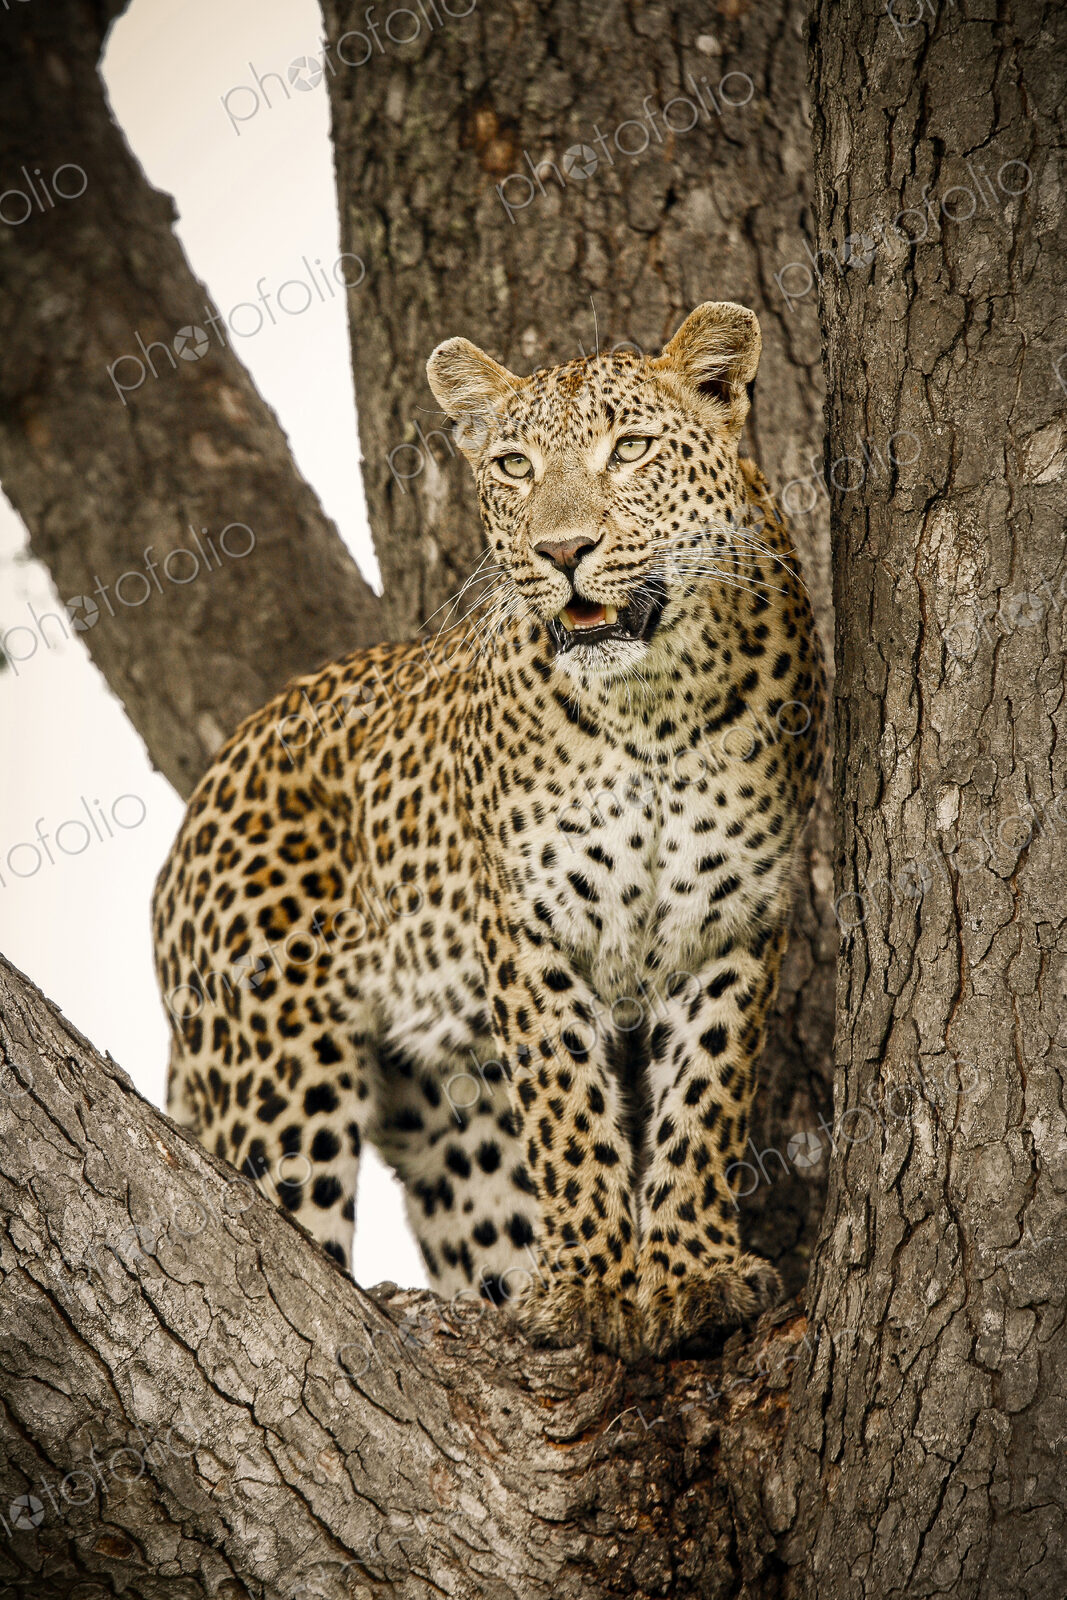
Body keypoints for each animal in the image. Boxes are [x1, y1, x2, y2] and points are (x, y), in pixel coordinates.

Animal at [152, 301, 826, 1361]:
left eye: (630, 450)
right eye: (513, 465)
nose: (563, 551)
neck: (653, 705)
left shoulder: (731, 921)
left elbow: (702, 1100)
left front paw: (692, 1275)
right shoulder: (530, 921)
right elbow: (569, 1107)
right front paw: (588, 1288)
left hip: (446, 1109)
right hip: (277, 1076)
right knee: (282, 1223)